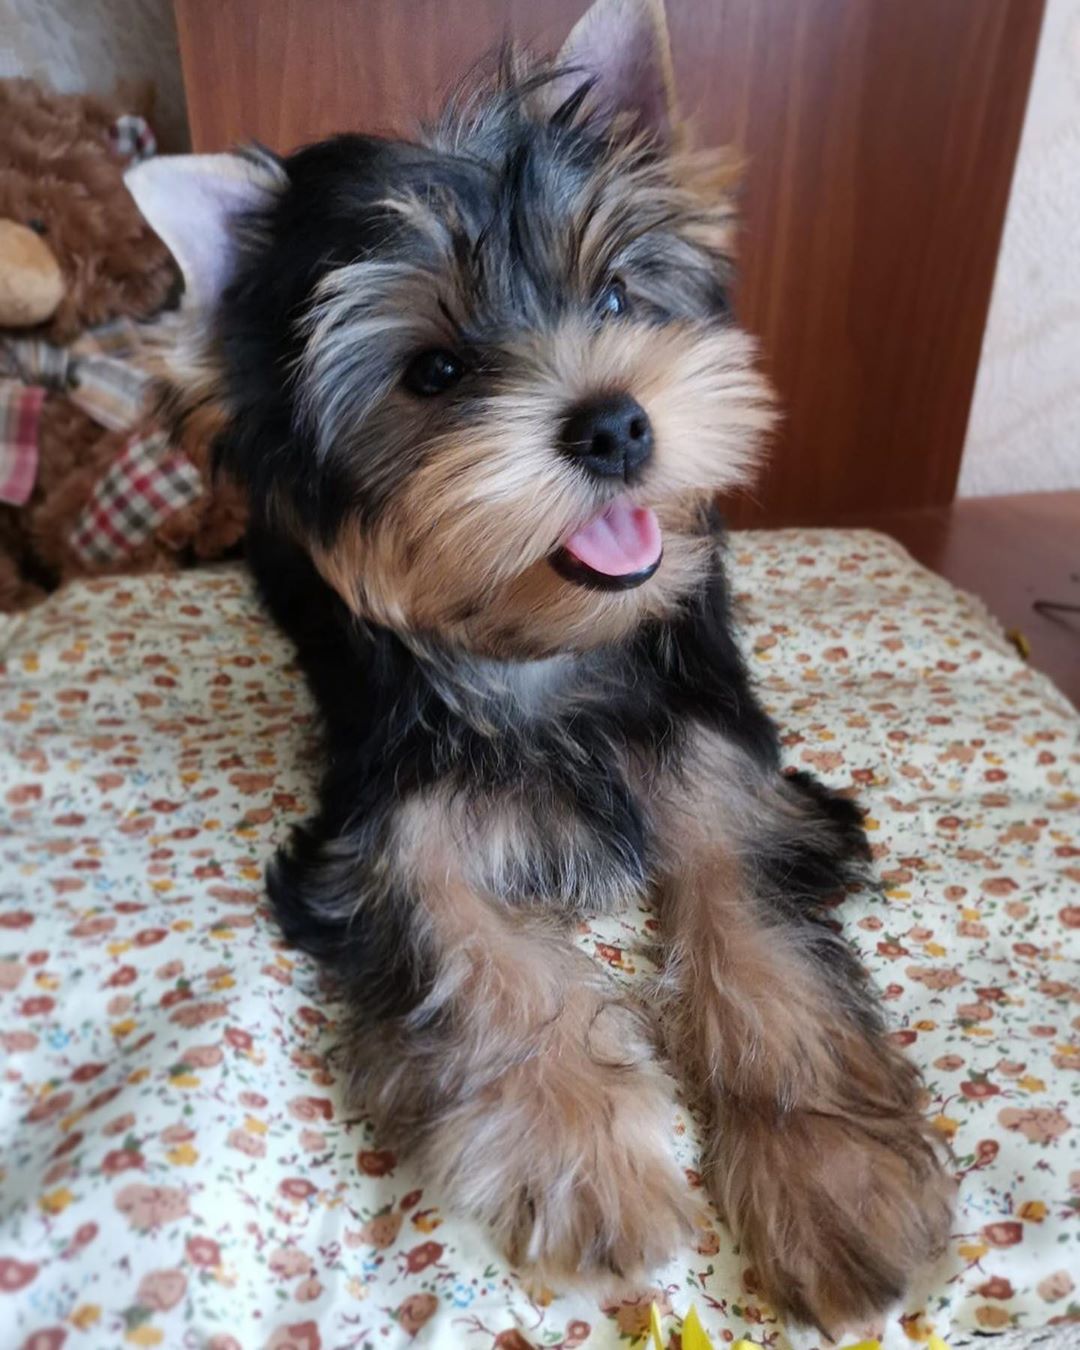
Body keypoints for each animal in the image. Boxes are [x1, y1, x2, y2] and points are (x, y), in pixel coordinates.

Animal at [128, 0, 955, 1328]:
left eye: (616, 295)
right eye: (434, 372)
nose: (613, 421)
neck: (545, 651)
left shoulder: (721, 759)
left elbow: (757, 926)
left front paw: (837, 1177)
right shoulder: (387, 823)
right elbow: (472, 943)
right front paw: (580, 1156)